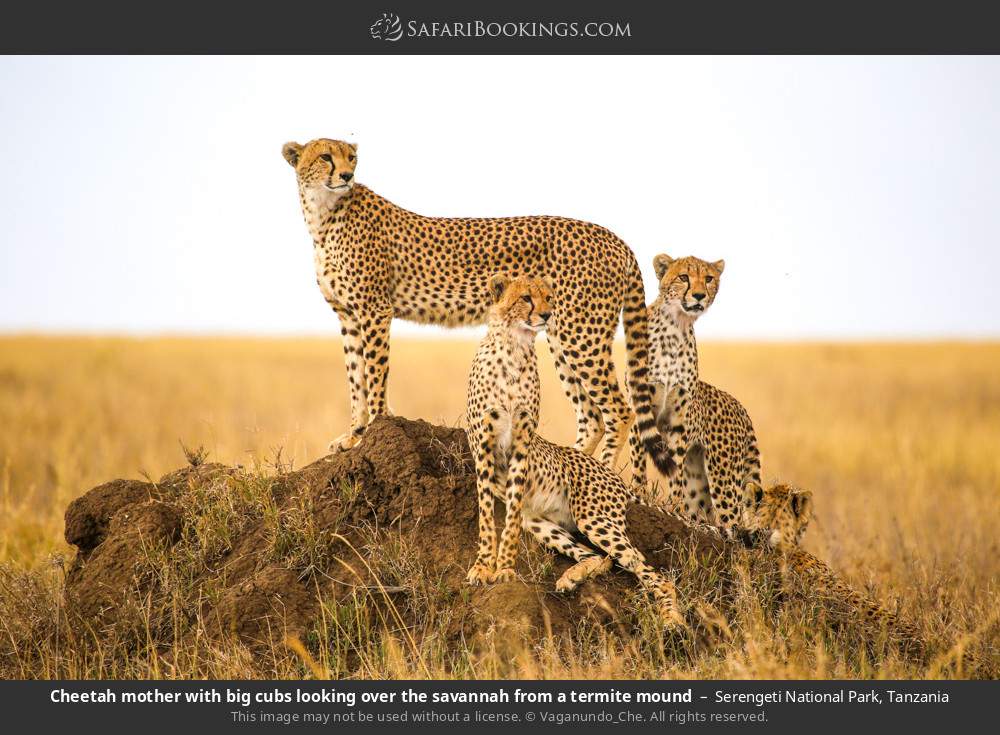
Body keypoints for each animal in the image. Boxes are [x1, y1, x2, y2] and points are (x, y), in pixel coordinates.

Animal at [281, 139, 665, 472]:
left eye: (351, 158)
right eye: (326, 156)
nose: (347, 175)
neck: (323, 214)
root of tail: (614, 238)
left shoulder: (374, 310)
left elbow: (374, 375)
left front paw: (371, 432)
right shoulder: (347, 315)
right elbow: (355, 379)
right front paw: (353, 436)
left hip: (581, 334)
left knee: (620, 410)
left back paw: (602, 473)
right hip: (560, 333)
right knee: (592, 415)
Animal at [464, 274, 686, 629]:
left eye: (549, 297)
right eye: (526, 298)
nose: (546, 315)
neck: (513, 347)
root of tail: (611, 475)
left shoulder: (521, 445)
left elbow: (509, 521)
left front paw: (506, 569)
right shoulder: (484, 447)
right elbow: (487, 514)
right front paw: (484, 567)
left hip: (595, 518)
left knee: (649, 570)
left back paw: (672, 619)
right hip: (541, 522)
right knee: (602, 557)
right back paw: (571, 578)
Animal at [628, 254, 761, 535]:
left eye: (708, 278)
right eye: (683, 277)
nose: (699, 295)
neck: (676, 326)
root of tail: (740, 406)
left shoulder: (678, 420)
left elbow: (674, 469)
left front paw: (672, 507)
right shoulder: (639, 407)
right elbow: (638, 461)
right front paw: (638, 494)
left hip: (724, 476)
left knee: (732, 521)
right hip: (701, 480)